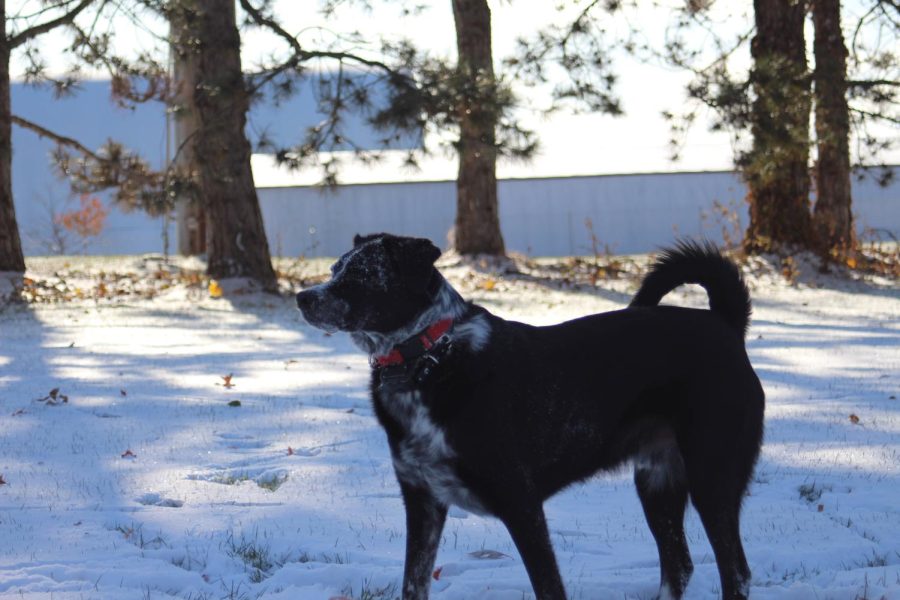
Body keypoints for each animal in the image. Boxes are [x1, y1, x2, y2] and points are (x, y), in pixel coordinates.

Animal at [298, 234, 764, 600]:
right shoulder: (423, 501)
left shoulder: (521, 504)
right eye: (335, 268)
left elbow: (549, 587)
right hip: (657, 482)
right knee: (679, 566)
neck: (430, 356)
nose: (303, 297)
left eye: (363, 273)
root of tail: (725, 325)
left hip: (712, 478)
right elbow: (414, 585)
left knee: (736, 572)